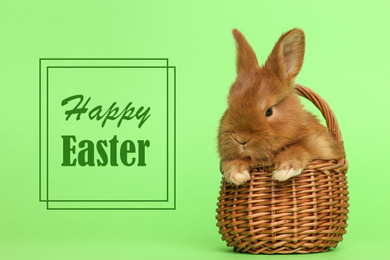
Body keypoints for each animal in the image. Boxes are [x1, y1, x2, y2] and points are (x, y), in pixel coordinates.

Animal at [218, 29, 346, 185]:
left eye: (269, 111)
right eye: (229, 105)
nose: (241, 139)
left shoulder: (321, 144)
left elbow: (299, 147)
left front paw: (285, 170)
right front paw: (236, 174)